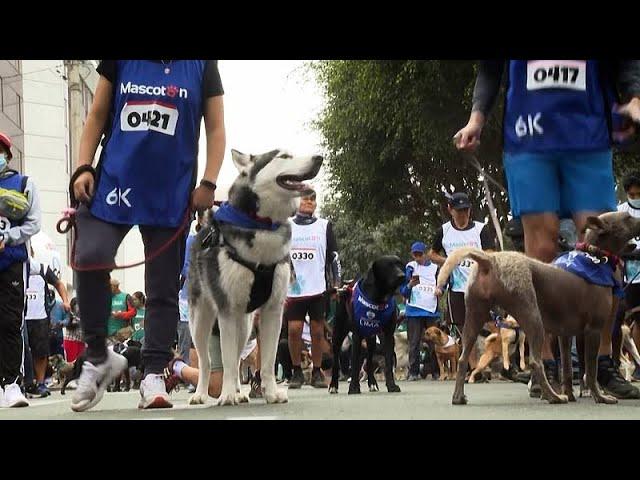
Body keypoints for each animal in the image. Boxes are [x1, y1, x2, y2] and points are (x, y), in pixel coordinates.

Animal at [188, 149, 322, 404]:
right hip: (201, 321)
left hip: (245, 325)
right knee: (206, 361)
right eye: (284, 156)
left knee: (239, 356)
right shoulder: (227, 310)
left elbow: (268, 362)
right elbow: (227, 361)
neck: (263, 226)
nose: (319, 158)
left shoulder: (273, 311)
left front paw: (270, 393)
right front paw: (226, 394)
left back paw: (240, 393)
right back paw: (201, 394)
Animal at [330, 255, 404, 394]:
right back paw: (333, 385)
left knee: (369, 361)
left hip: (371, 339)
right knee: (336, 361)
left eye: (399, 264)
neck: (379, 297)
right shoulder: (357, 336)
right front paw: (353, 387)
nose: (401, 275)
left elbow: (388, 363)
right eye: (388, 266)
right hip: (338, 334)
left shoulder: (388, 335)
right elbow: (354, 365)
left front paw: (391, 385)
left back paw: (372, 383)